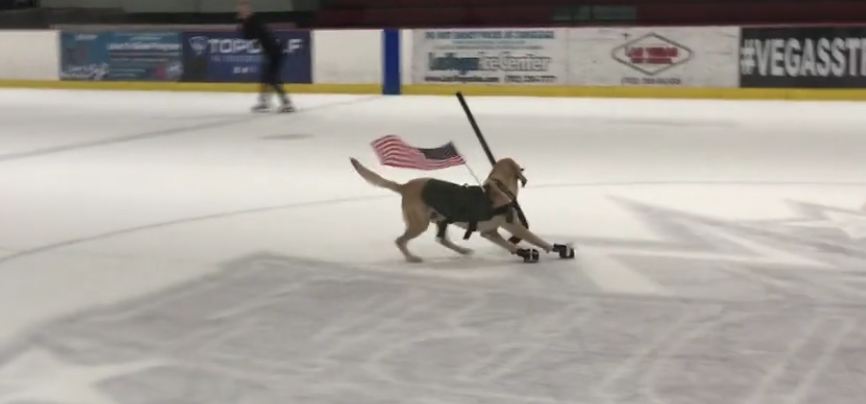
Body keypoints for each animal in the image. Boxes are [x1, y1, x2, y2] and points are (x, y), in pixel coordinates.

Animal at [350, 156, 560, 264]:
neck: (498, 186)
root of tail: (405, 186)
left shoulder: (490, 233)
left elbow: (509, 245)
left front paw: (521, 252)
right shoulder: (513, 226)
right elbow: (535, 238)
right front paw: (554, 248)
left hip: (440, 219)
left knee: (442, 239)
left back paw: (463, 250)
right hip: (420, 223)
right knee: (400, 240)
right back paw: (412, 258)